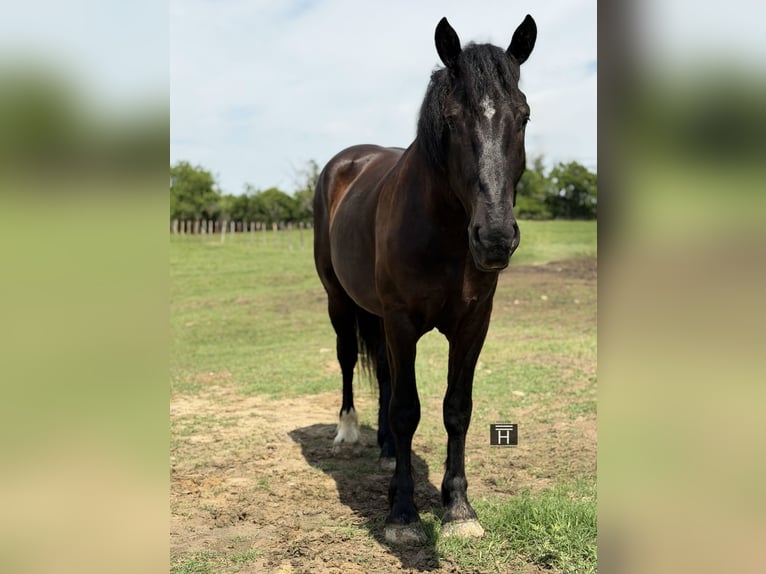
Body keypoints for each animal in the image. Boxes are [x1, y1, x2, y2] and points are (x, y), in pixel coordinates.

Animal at [313, 15, 537, 545]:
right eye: (451, 120)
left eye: (523, 116)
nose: (495, 238)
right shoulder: (401, 322)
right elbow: (407, 409)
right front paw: (403, 514)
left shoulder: (473, 324)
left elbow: (456, 408)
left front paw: (458, 507)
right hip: (339, 300)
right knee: (349, 359)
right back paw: (349, 431)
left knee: (384, 374)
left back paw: (386, 450)